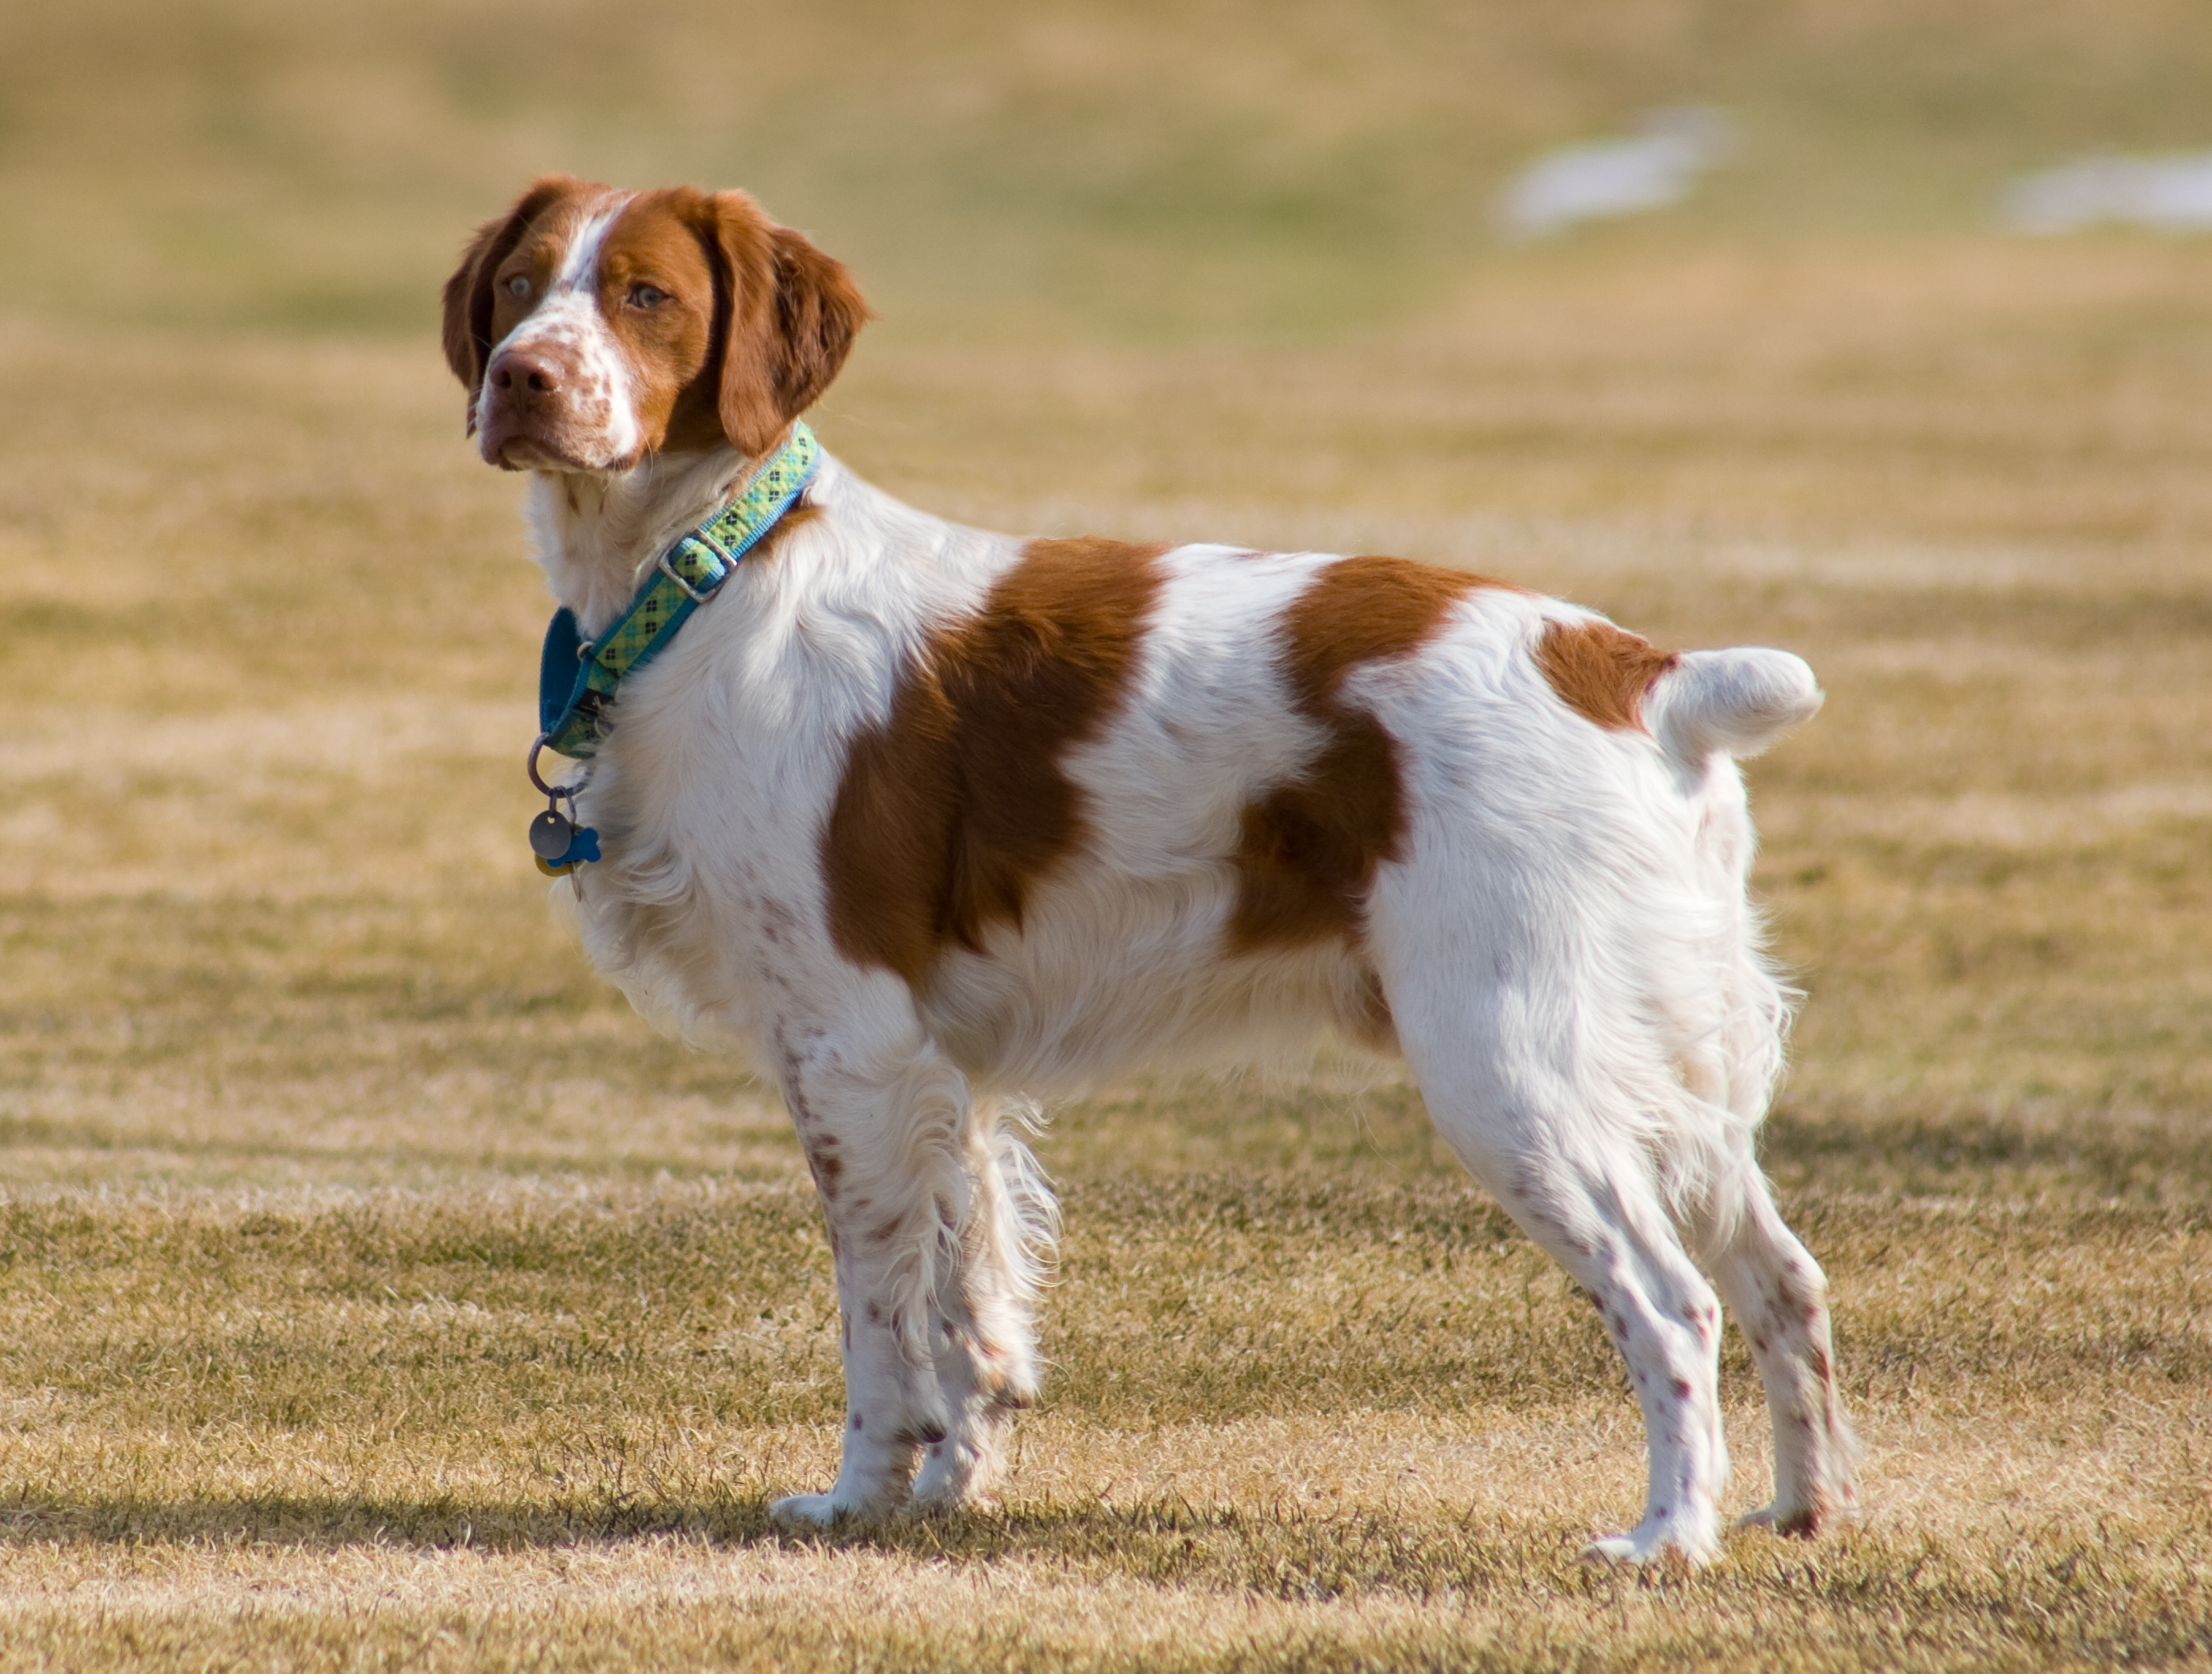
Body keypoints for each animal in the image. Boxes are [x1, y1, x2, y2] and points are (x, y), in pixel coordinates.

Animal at [440, 175, 1858, 1557]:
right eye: (519, 283)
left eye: (645, 296)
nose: (520, 377)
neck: (712, 579)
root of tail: (1640, 672)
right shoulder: (943, 1073)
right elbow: (971, 1305)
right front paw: (948, 1495)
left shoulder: (848, 1044)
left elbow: (881, 1323)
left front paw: (855, 1502)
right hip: (1669, 1069)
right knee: (1783, 1278)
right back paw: (1799, 1511)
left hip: (1509, 1064)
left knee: (1672, 1305)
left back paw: (1666, 1536)